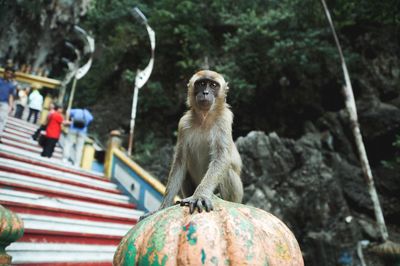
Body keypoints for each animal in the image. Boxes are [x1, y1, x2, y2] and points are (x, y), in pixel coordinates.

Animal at [140, 69, 244, 220]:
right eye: (201, 83)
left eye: (213, 85)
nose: (205, 92)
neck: (204, 118)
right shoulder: (183, 124)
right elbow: (180, 162)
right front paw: (163, 207)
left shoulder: (224, 119)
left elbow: (221, 158)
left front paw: (200, 196)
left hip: (237, 196)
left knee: (228, 170)